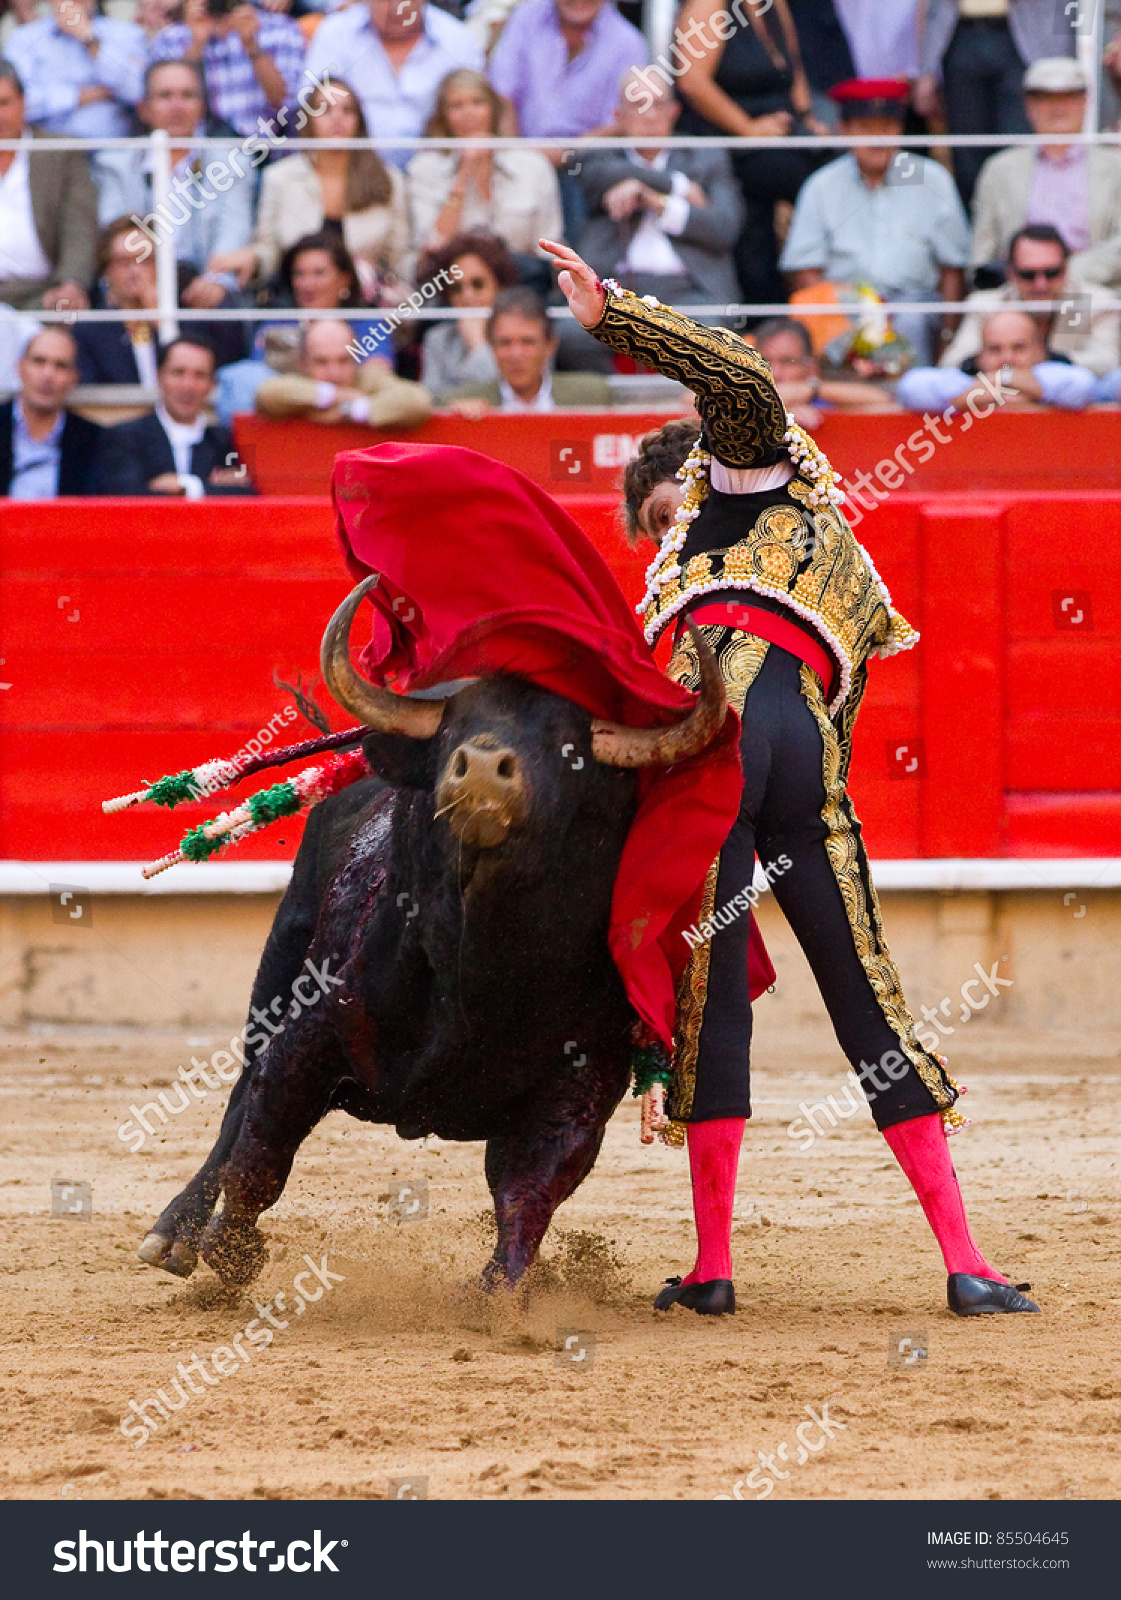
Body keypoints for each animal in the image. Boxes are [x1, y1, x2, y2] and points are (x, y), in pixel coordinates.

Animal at [137, 582, 726, 1292]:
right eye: (452, 730)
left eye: (571, 749)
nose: (481, 770)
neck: (475, 956)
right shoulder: (309, 1036)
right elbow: (259, 1154)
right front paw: (231, 1256)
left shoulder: (580, 1091)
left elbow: (527, 1197)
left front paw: (500, 1295)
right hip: (280, 963)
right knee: (239, 1099)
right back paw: (176, 1233)